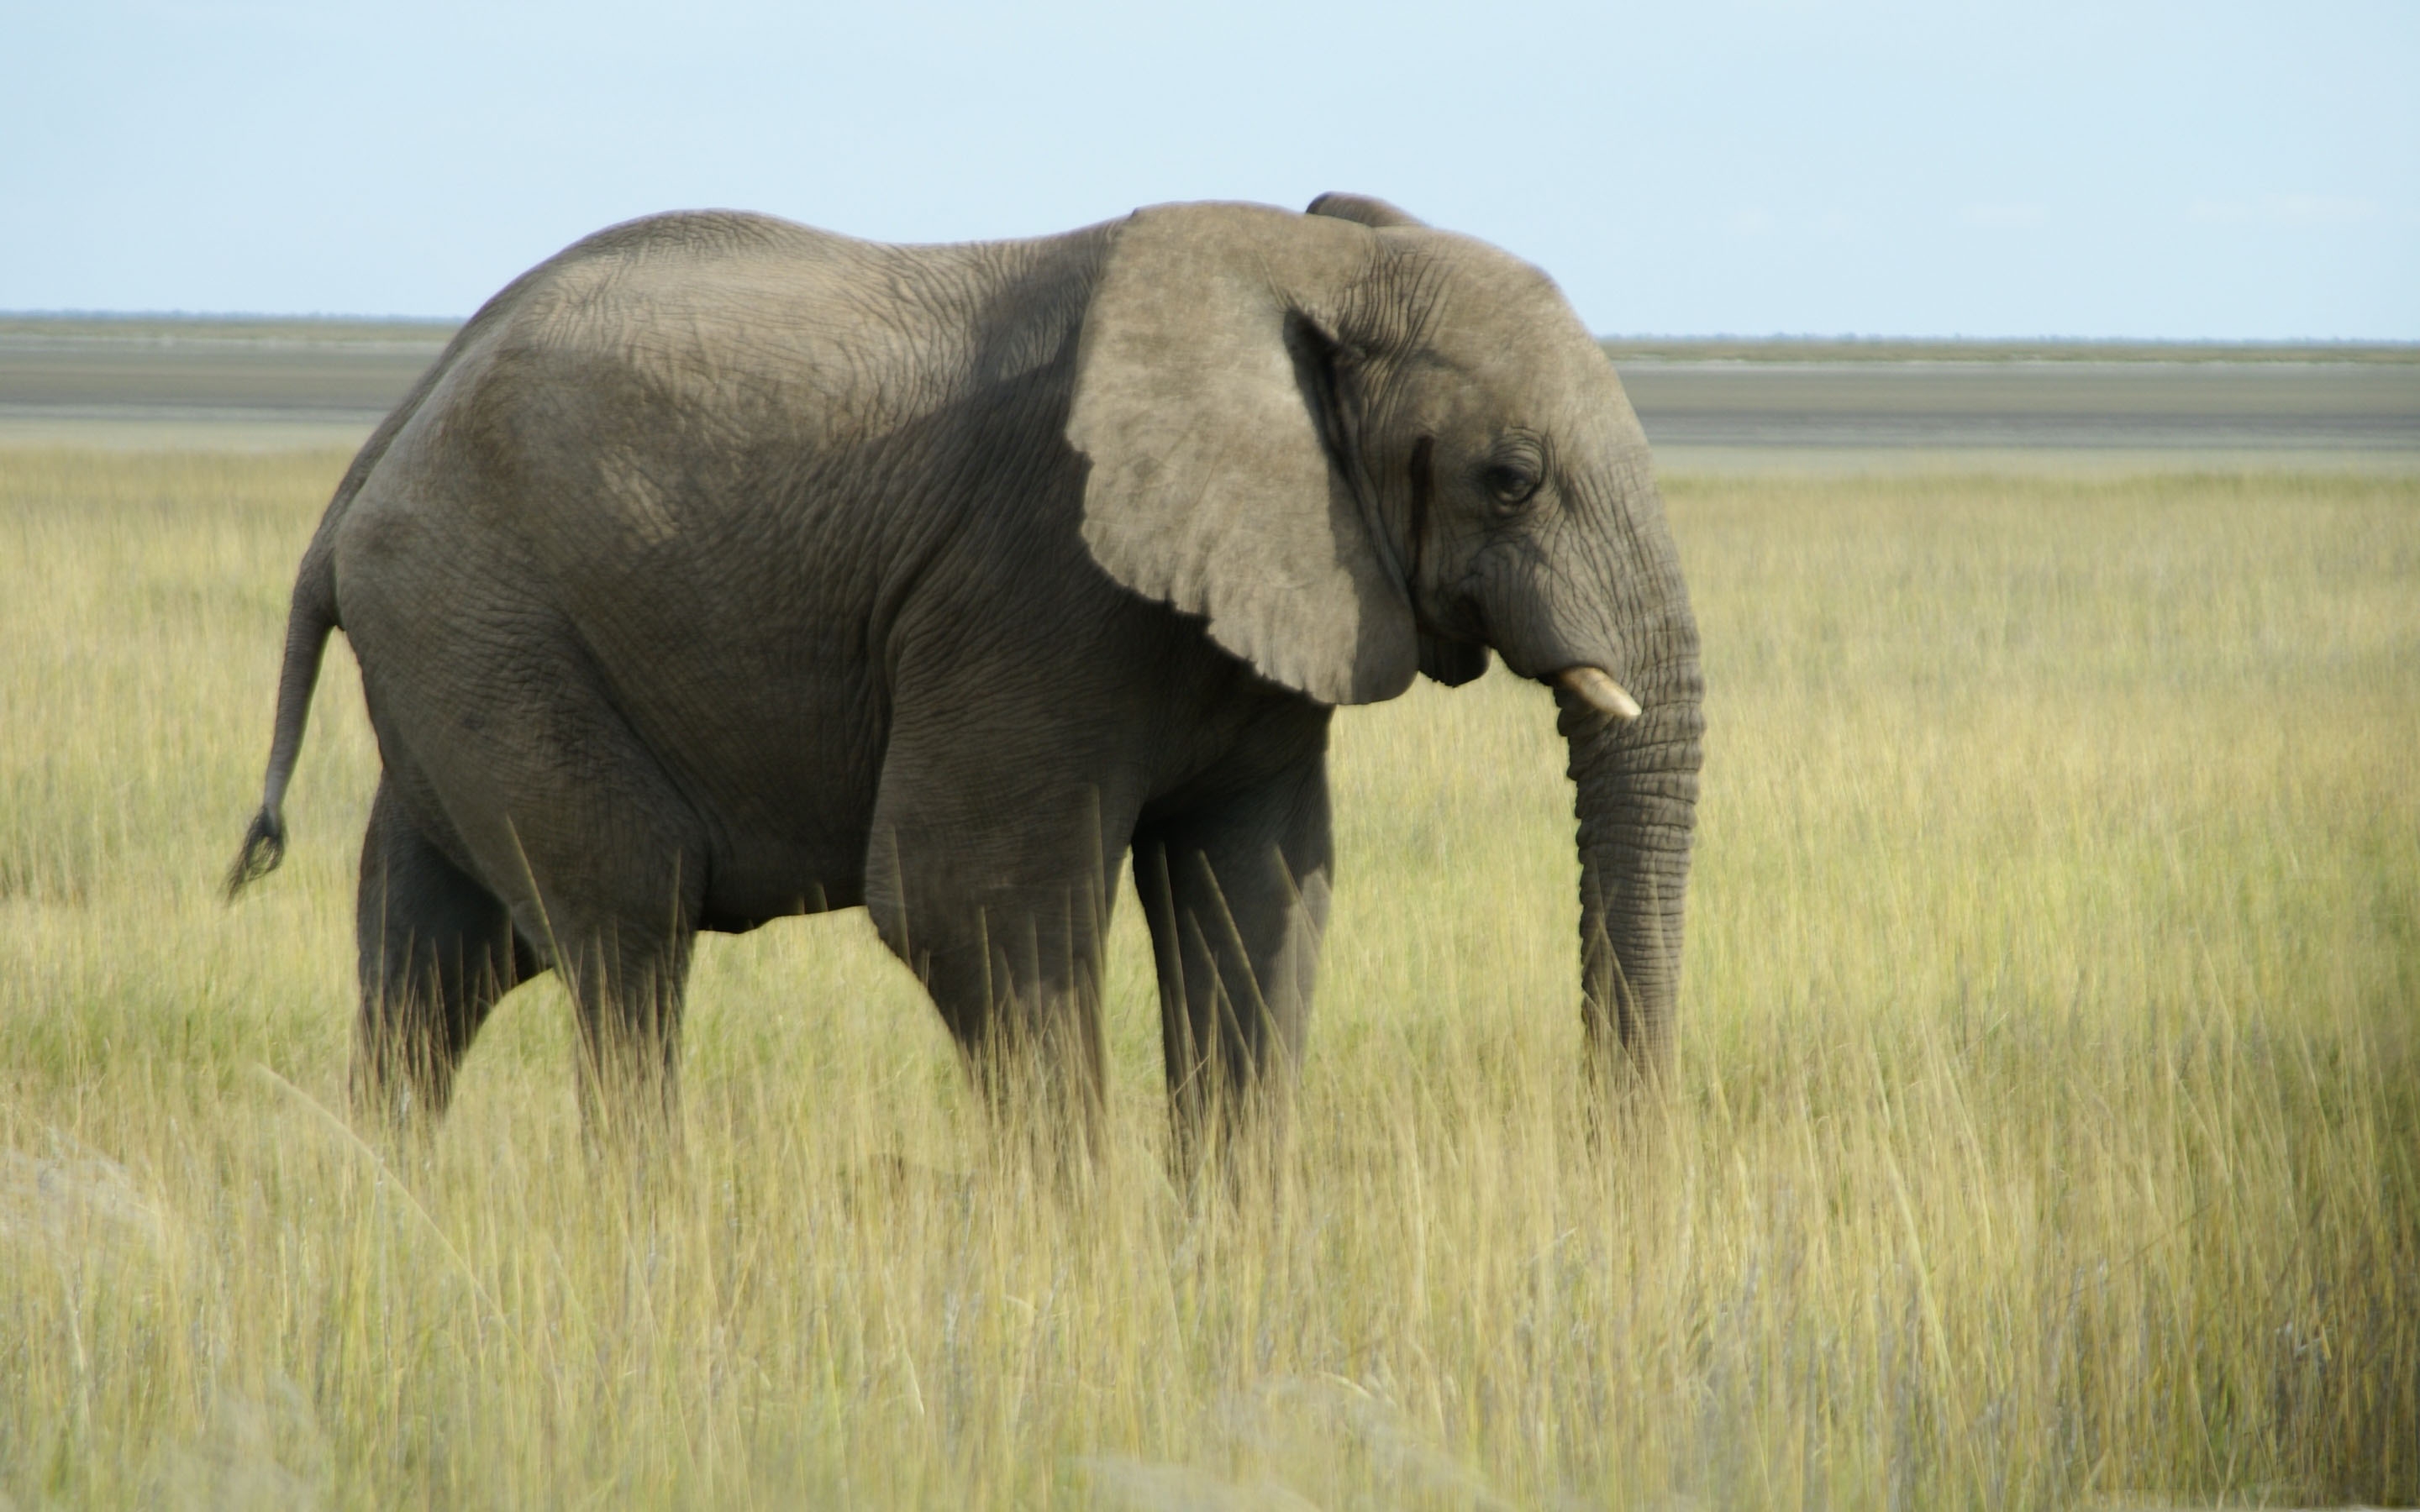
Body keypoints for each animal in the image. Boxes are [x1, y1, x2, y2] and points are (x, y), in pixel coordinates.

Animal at [225, 191, 1704, 1157]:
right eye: (1511, 479)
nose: (1610, 1158)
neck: (1304, 256)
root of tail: (373, 455)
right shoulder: (1032, 586)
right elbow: (976, 910)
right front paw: (1083, 1272)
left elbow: (1260, 898)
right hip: (490, 625)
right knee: (624, 932)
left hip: (455, 647)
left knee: (431, 957)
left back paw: (391, 1208)